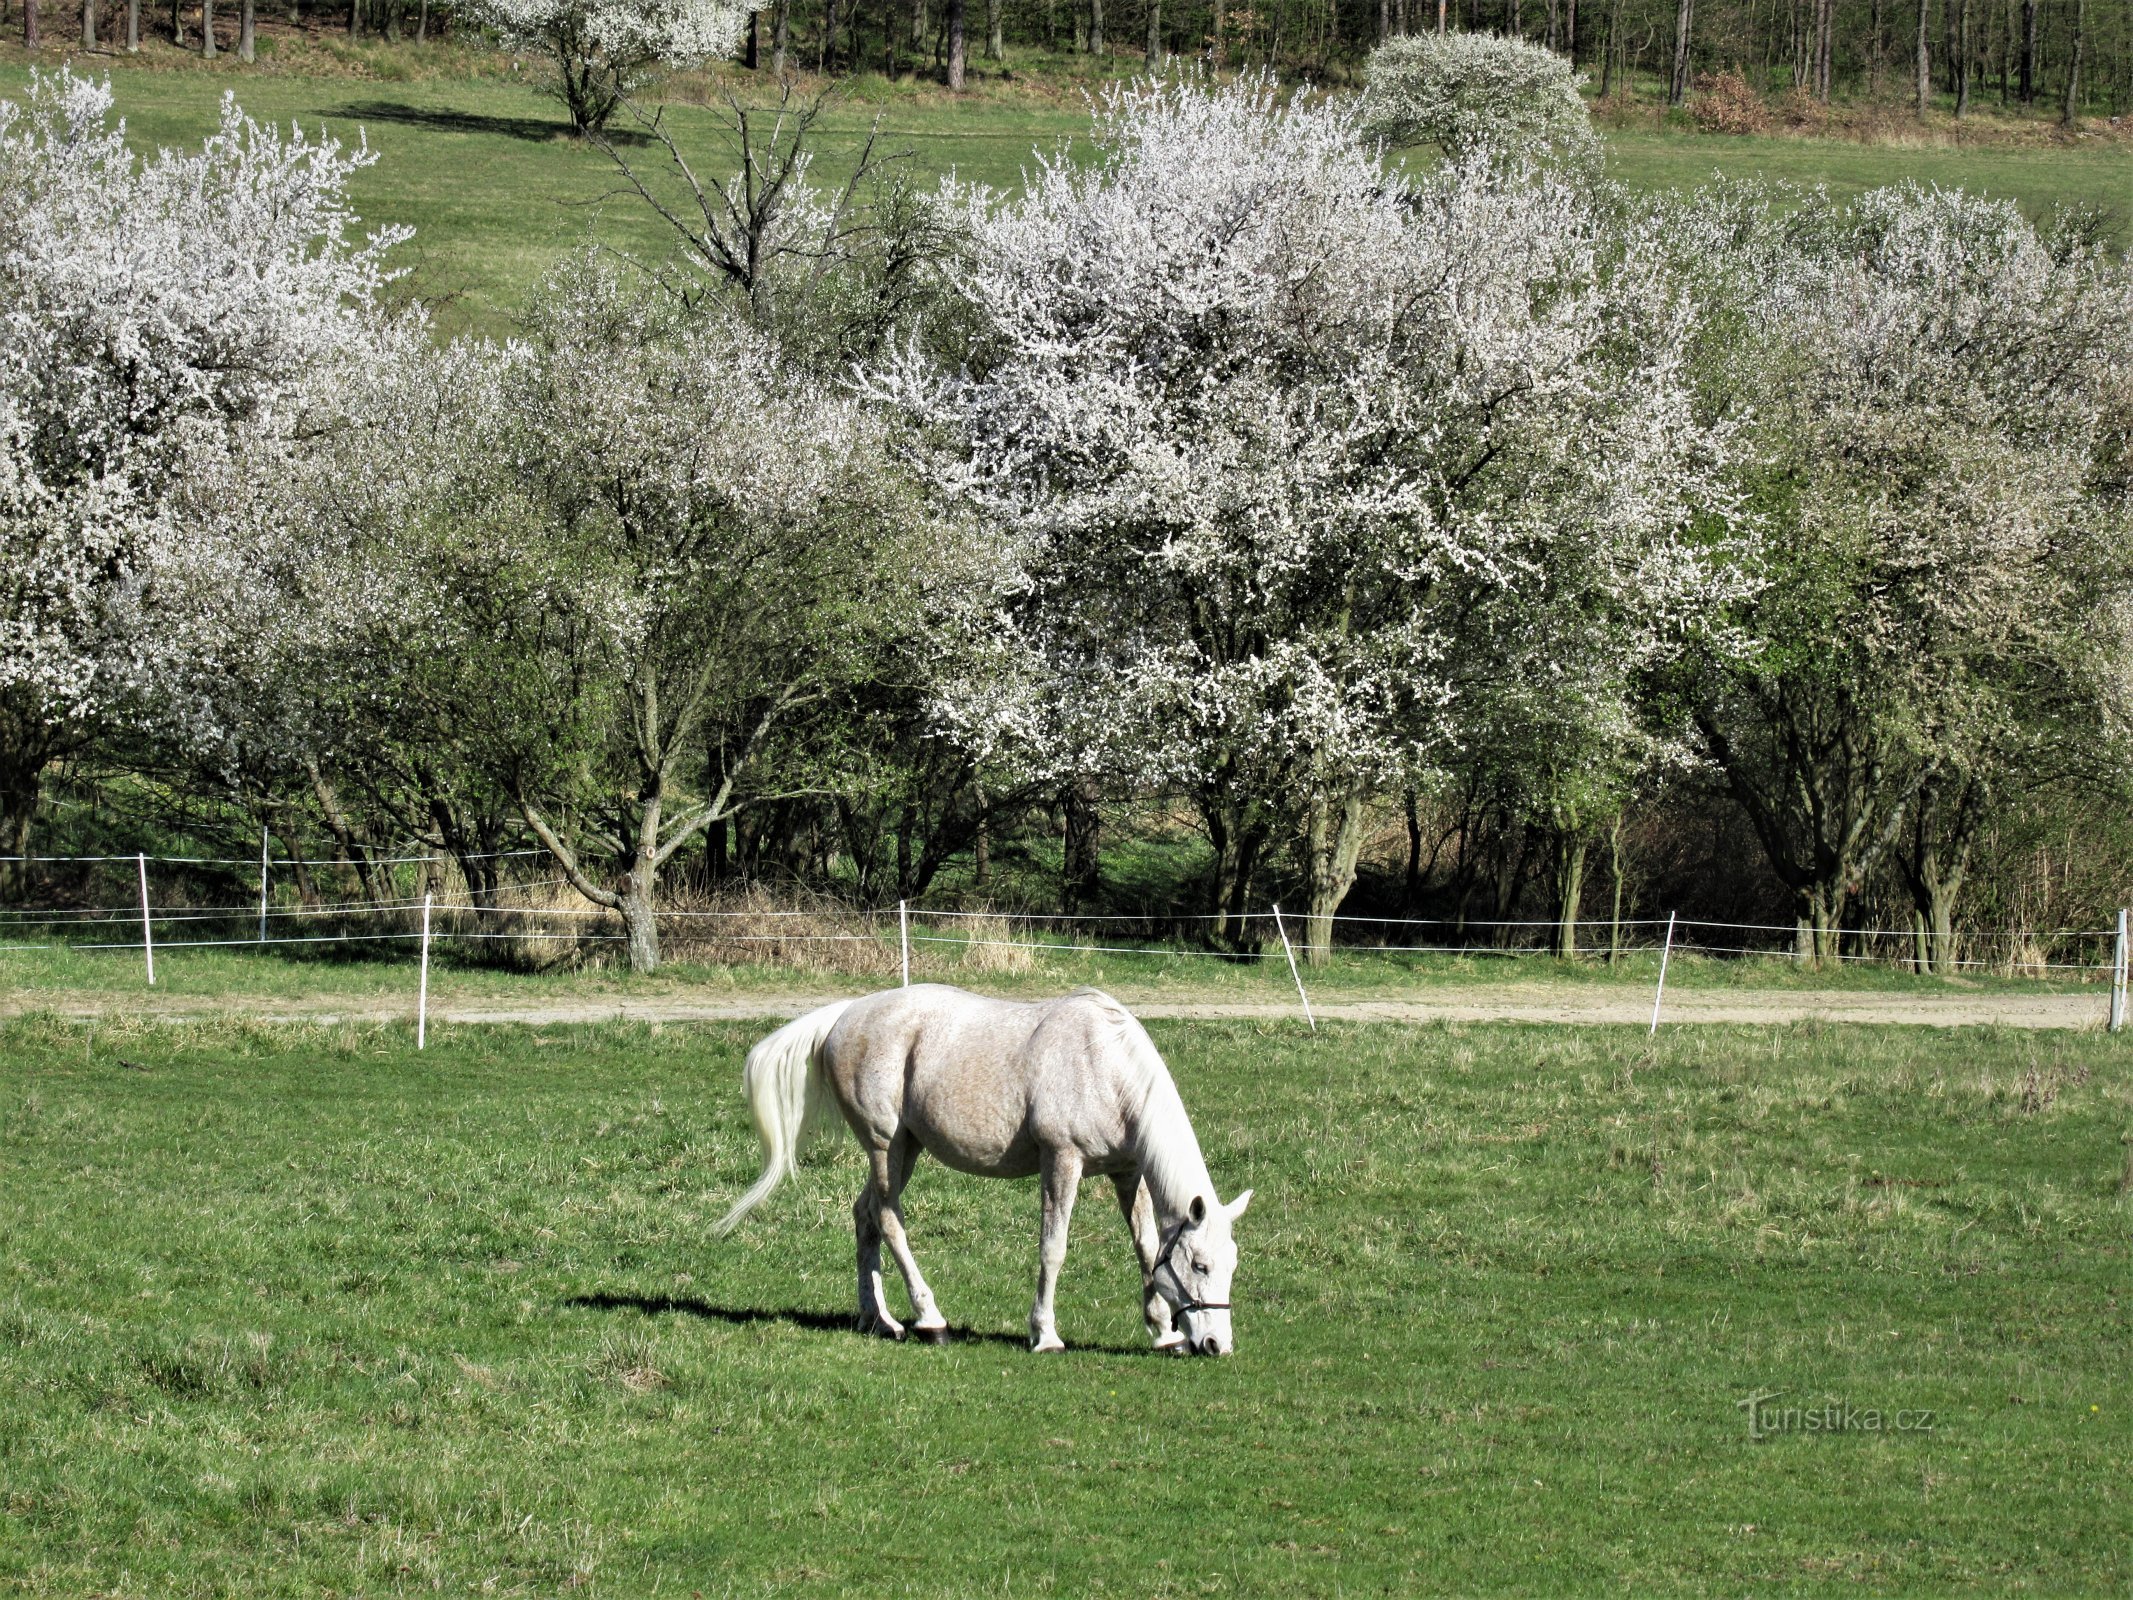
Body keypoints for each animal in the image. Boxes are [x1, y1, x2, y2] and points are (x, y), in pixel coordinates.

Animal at [716, 985, 1245, 1356]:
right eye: (1201, 1265)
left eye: (1232, 1264)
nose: (1217, 1345)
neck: (1103, 1064)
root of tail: (846, 1014)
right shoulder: (1061, 1161)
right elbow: (1053, 1248)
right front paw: (1045, 1334)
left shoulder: (1127, 1174)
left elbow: (1147, 1248)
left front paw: (1162, 1333)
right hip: (886, 1145)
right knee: (888, 1218)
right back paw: (931, 1321)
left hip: (906, 1148)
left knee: (865, 1215)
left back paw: (878, 1319)